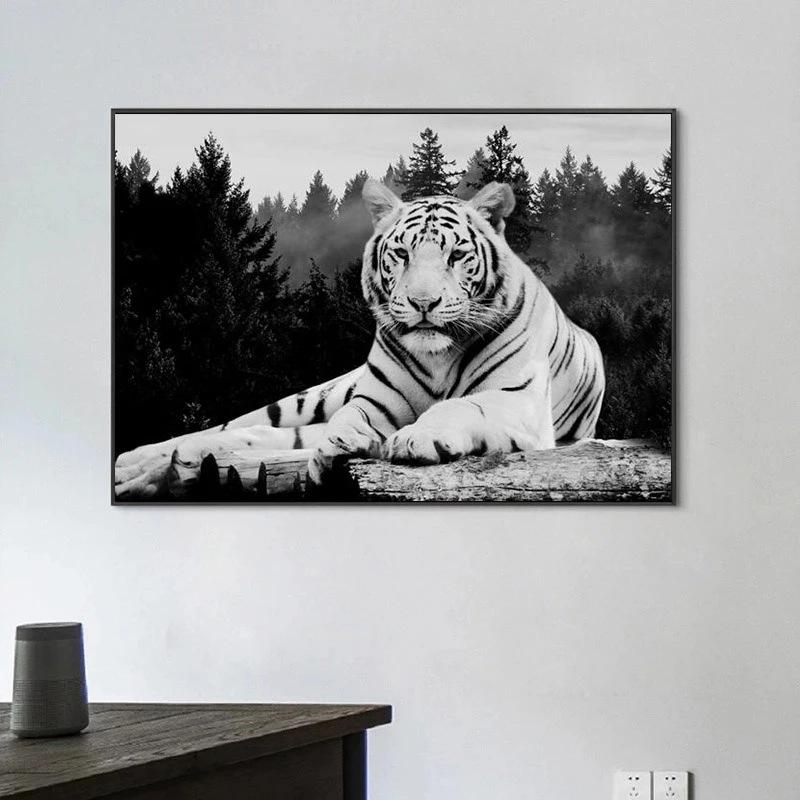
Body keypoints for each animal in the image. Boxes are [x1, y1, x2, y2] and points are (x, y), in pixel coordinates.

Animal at [114, 178, 605, 499]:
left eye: (456, 255)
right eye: (402, 253)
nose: (423, 302)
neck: (439, 356)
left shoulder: (518, 400)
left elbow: (463, 405)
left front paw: (414, 438)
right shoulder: (374, 401)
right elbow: (348, 420)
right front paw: (337, 449)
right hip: (312, 398)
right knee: (238, 427)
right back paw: (135, 465)